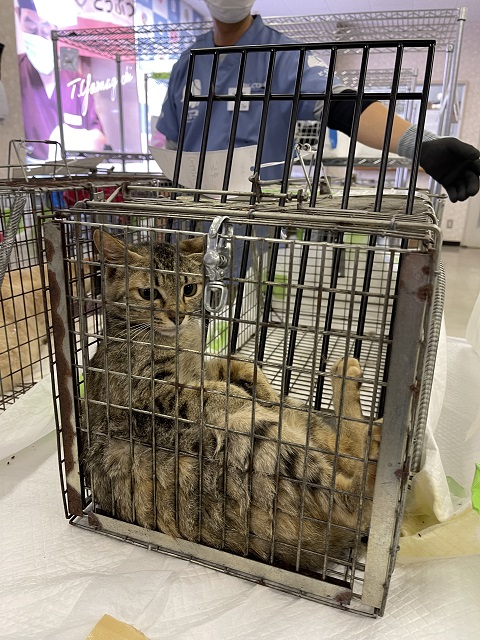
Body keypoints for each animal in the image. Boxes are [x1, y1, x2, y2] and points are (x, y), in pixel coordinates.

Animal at [83, 230, 381, 572]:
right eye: (147, 293)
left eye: (189, 288)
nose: (178, 315)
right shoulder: (153, 390)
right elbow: (213, 391)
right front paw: (244, 394)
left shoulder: (201, 368)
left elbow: (231, 361)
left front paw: (260, 385)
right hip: (257, 440)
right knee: (352, 504)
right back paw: (379, 446)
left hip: (300, 421)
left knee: (346, 451)